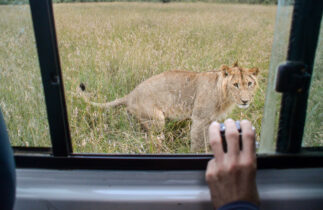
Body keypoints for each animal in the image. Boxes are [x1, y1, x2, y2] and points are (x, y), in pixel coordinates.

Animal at [79, 62, 260, 153]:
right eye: (235, 85)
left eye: (249, 84)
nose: (245, 101)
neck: (224, 95)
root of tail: (130, 94)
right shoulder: (199, 118)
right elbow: (197, 141)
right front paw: (196, 154)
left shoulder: (211, 120)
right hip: (157, 120)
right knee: (153, 139)